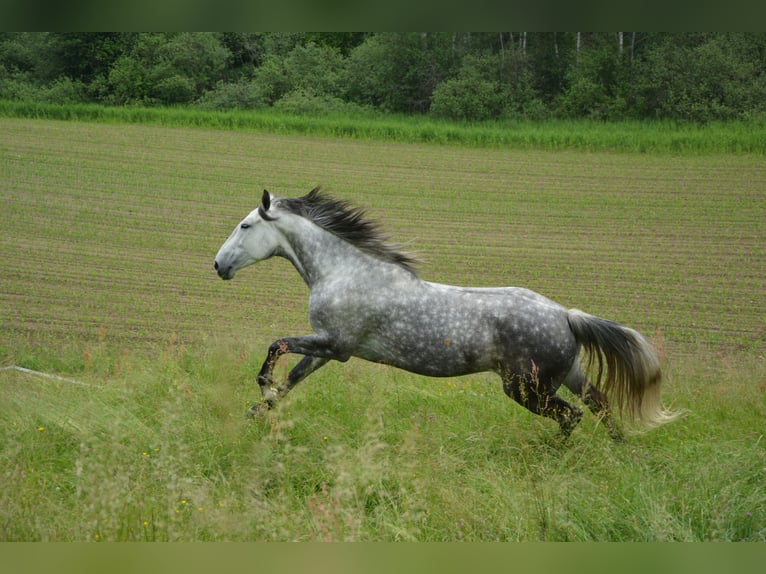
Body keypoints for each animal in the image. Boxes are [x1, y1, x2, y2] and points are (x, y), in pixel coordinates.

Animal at [214, 189, 680, 440]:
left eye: (245, 226)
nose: (218, 265)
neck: (343, 272)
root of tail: (566, 315)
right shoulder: (327, 349)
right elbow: (292, 380)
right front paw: (257, 412)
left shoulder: (336, 344)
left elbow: (277, 346)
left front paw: (262, 391)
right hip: (565, 375)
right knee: (600, 405)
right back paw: (619, 452)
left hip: (526, 388)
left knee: (573, 415)